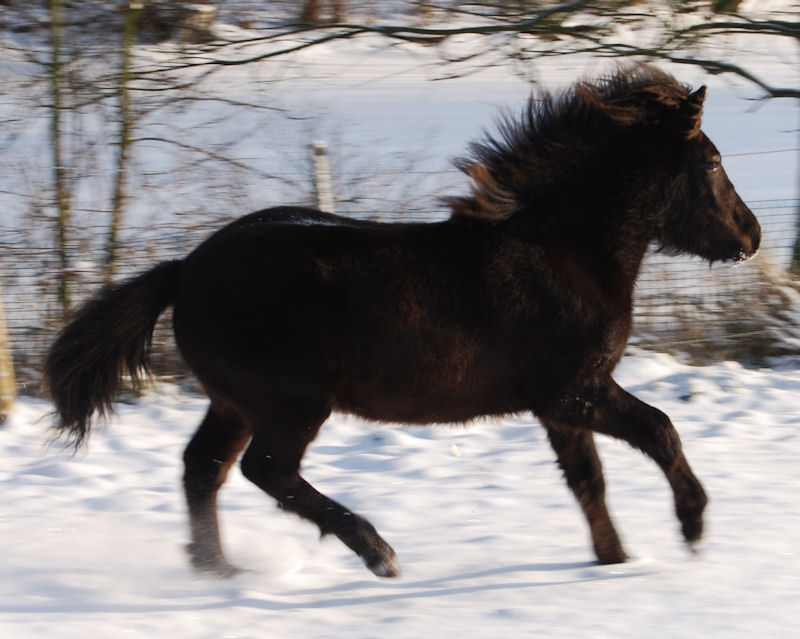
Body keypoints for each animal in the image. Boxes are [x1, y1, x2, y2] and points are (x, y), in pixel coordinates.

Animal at [45, 66, 764, 580]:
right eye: (712, 163)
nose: (752, 236)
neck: (565, 252)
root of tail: (185, 269)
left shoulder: (560, 405)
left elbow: (588, 480)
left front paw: (614, 560)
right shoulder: (575, 390)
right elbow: (660, 429)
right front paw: (693, 527)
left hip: (233, 402)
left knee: (204, 469)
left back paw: (219, 569)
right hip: (290, 404)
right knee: (266, 471)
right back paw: (377, 551)